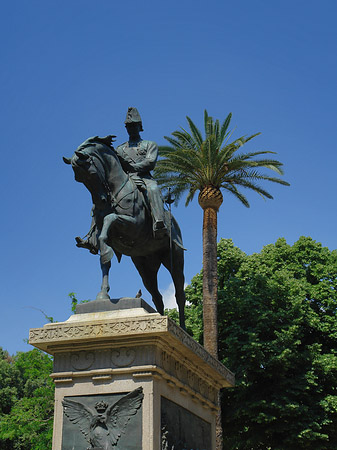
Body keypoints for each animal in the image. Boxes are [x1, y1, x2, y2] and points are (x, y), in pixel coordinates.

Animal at [61, 135, 185, 328]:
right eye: (78, 179)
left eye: (91, 173)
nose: (101, 201)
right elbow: (104, 254)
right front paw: (103, 294)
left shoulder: (133, 226)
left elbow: (110, 219)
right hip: (146, 267)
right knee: (157, 296)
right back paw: (158, 316)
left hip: (175, 260)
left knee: (179, 294)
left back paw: (184, 328)